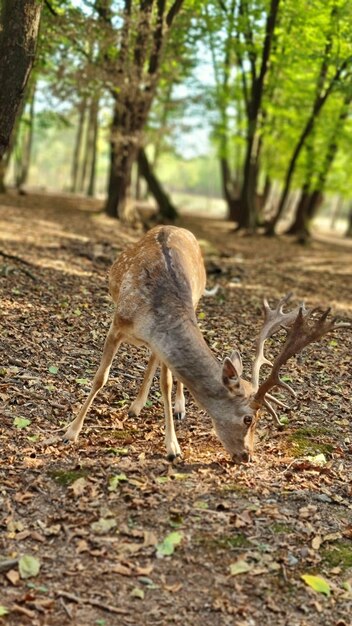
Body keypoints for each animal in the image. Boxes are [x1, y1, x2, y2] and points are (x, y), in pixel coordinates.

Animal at [62, 227, 346, 460]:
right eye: (248, 419)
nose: (248, 456)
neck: (152, 316)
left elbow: (165, 385)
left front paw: (173, 447)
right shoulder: (117, 323)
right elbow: (100, 378)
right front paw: (71, 432)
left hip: (197, 301)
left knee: (161, 369)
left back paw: (170, 407)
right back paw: (137, 406)